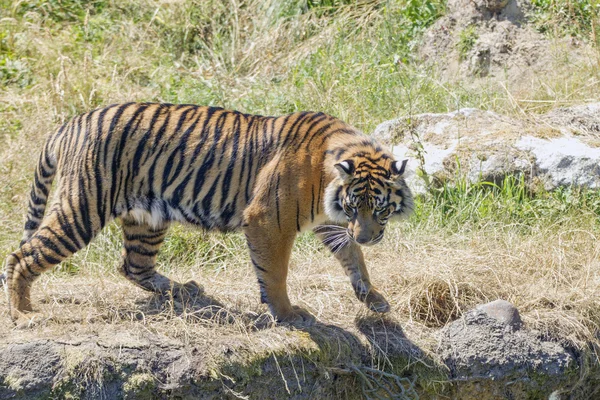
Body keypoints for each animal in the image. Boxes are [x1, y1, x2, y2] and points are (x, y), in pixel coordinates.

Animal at [2, 102, 412, 324]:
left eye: (379, 207)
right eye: (354, 205)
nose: (368, 236)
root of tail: (71, 122)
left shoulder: (328, 222)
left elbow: (353, 258)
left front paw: (373, 298)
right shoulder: (268, 220)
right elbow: (275, 273)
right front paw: (287, 313)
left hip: (148, 217)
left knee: (133, 265)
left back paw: (183, 290)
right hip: (83, 206)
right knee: (22, 255)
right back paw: (24, 313)